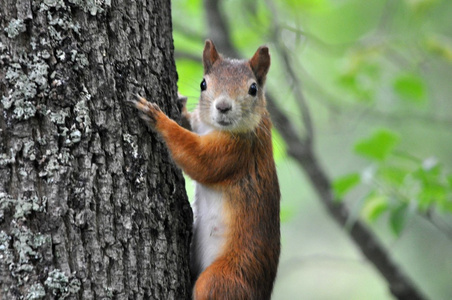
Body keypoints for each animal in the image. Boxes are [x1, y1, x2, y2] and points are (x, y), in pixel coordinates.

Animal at [132, 39, 278, 300]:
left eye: (253, 89)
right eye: (203, 84)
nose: (223, 107)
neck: (214, 128)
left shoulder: (237, 152)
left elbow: (199, 160)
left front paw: (158, 118)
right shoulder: (202, 125)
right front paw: (180, 106)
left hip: (222, 281)